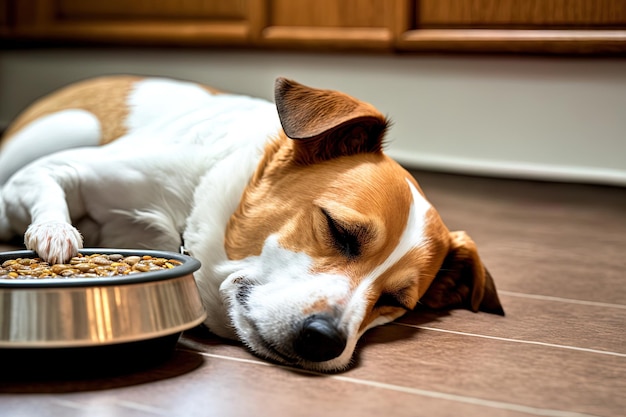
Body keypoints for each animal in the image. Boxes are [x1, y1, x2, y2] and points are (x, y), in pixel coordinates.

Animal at [0, 77, 500, 370]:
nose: (324, 340)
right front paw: (56, 235)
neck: (182, 219)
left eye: (396, 301)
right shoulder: (44, 174)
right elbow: (47, 193)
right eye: (338, 230)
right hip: (68, 127)